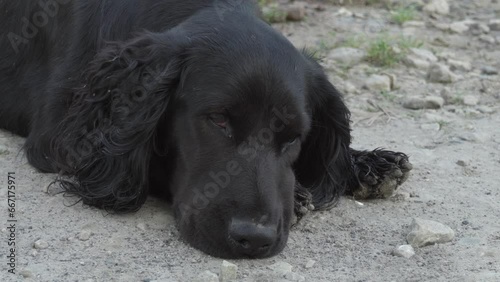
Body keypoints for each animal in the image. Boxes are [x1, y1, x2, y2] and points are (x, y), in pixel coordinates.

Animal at [0, 0, 412, 258]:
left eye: (294, 136)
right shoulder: (56, 136)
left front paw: (369, 164)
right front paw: (299, 196)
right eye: (218, 119)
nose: (255, 239)